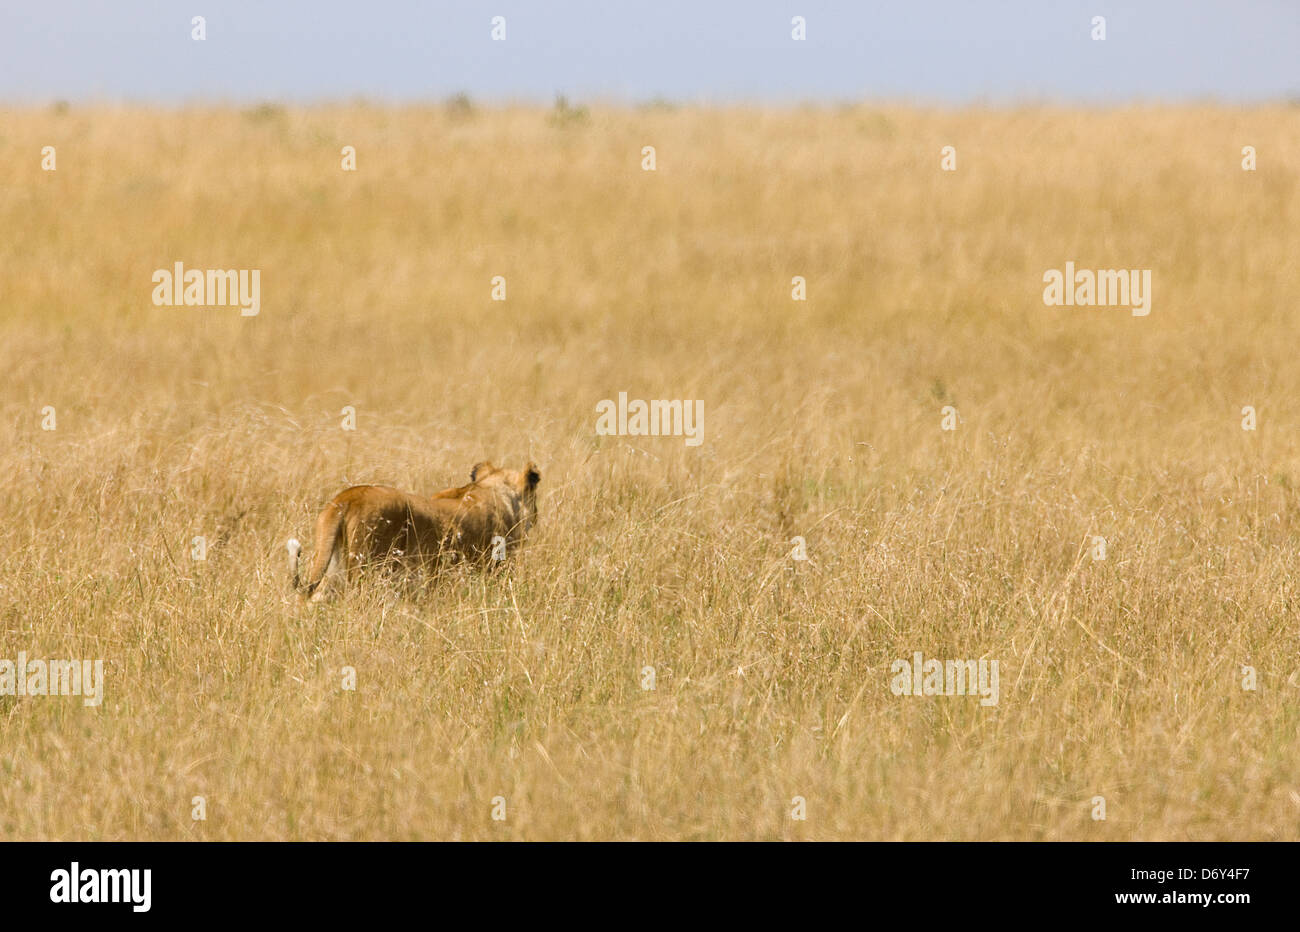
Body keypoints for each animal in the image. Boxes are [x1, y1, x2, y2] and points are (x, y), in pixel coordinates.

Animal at [287, 461, 540, 601]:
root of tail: (347, 497)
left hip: (330, 569)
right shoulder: (495, 569)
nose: (537, 515)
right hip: (366, 574)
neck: (491, 489)